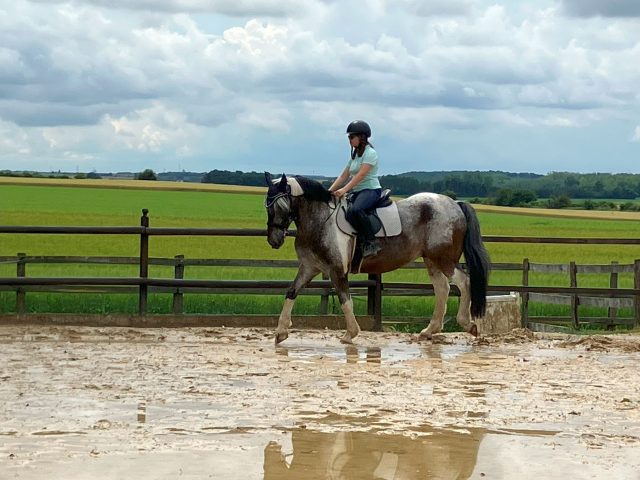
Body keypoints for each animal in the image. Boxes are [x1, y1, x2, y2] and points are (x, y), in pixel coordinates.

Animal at [264, 172, 490, 345]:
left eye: (281, 206)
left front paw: (350, 334)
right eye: (267, 205)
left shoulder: (337, 270)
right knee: (442, 288)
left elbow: (345, 300)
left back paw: (469, 324)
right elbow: (291, 292)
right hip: (431, 260)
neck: (319, 221)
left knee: (463, 282)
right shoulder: (309, 267)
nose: (274, 240)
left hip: (444, 258)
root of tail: (455, 204)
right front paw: (281, 332)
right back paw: (429, 331)